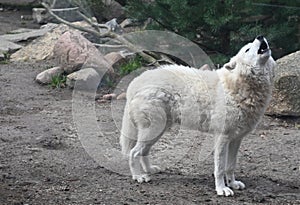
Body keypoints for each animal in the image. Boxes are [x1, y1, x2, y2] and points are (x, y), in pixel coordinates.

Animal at [119, 36, 276, 196]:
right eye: (247, 49)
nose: (260, 36)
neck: (237, 86)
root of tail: (136, 81)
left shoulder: (236, 139)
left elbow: (231, 166)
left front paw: (232, 184)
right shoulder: (222, 137)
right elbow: (220, 168)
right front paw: (222, 189)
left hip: (157, 131)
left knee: (144, 151)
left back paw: (150, 170)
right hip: (153, 130)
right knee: (133, 152)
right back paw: (139, 176)